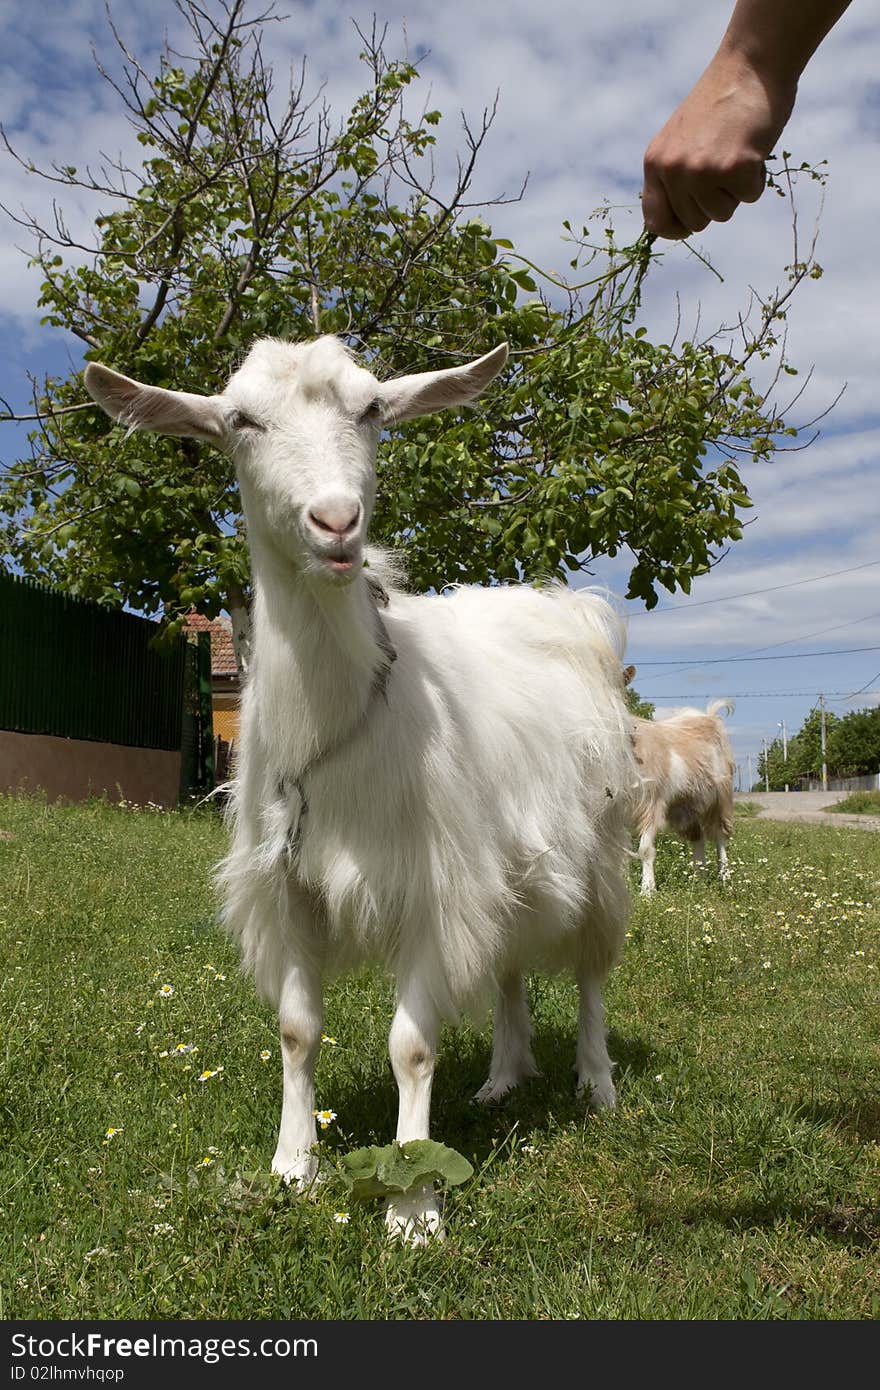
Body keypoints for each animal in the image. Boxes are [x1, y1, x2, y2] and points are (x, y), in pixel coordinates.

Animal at [84, 333, 639, 1239]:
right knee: (509, 964)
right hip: (508, 862)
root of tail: (569, 606)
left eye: (374, 408)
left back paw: (595, 1084)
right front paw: (292, 1166)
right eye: (238, 421)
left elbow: (410, 1046)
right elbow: (296, 1031)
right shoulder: (290, 885)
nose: (337, 522)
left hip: (600, 847)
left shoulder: (430, 884)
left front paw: (414, 1207)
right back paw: (503, 1076)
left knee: (590, 971)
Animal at [620, 678, 739, 895]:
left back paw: (725, 880)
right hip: (684, 806)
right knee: (698, 837)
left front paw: (647, 891)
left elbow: (645, 849)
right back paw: (698, 880)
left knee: (720, 836)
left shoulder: (653, 803)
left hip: (721, 797)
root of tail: (708, 717)